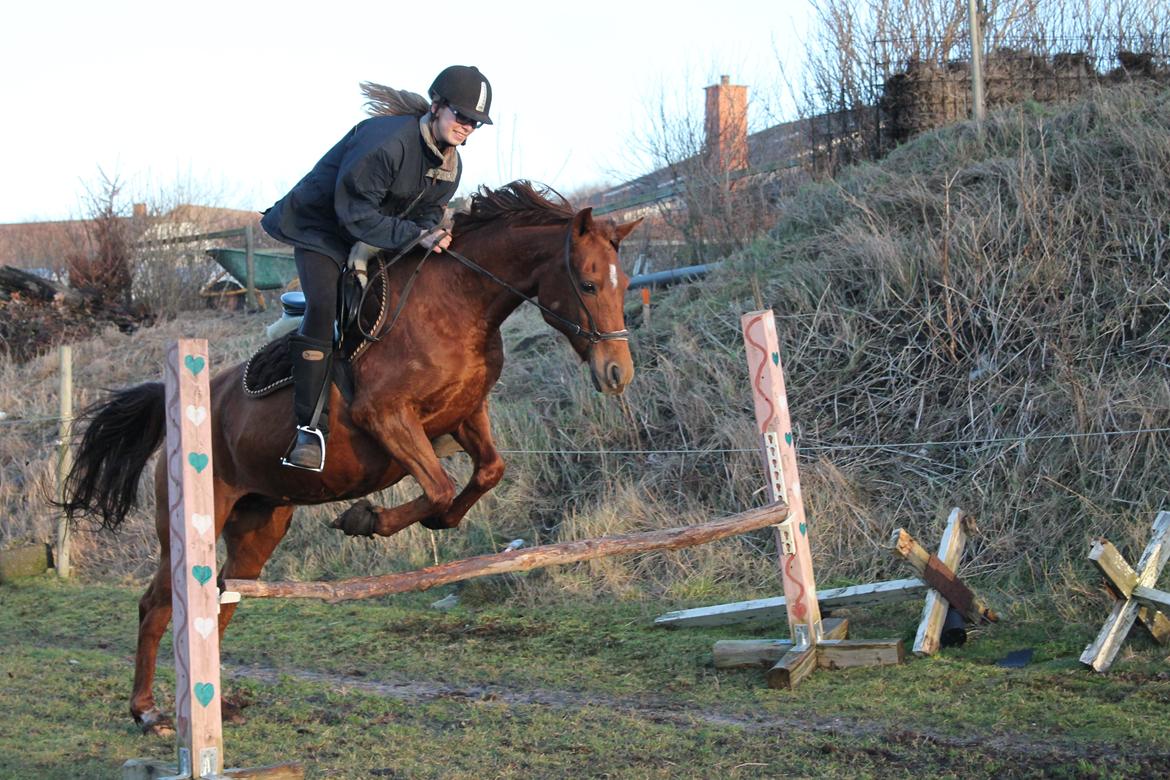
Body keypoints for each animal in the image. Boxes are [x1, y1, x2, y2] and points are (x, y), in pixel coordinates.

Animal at [62, 181, 641, 734]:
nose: (618, 374)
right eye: (589, 284)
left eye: (624, 285)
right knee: (158, 603)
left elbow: (486, 473)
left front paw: (429, 521)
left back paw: (214, 703)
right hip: (194, 518)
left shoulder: (464, 414)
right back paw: (147, 712)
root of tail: (181, 399)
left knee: (223, 599)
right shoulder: (386, 416)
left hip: (260, 524)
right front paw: (366, 519)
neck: (459, 304)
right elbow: (438, 485)